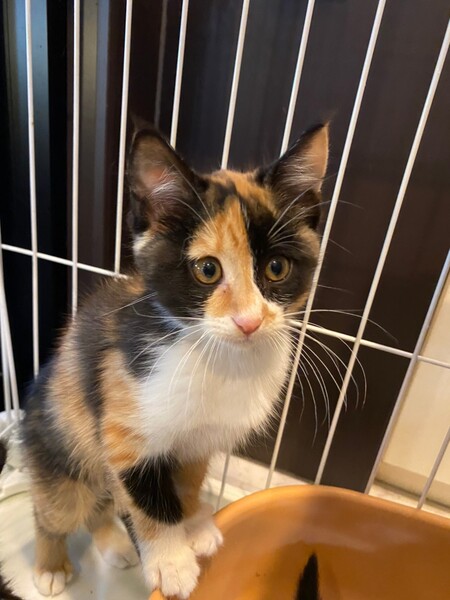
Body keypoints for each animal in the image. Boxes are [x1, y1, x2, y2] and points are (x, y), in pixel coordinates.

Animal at [22, 122, 329, 599]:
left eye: (277, 268)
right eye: (207, 270)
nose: (249, 321)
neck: (217, 354)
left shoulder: (198, 439)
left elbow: (185, 483)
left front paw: (195, 527)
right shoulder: (125, 425)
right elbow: (149, 498)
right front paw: (171, 561)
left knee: (102, 503)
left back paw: (114, 543)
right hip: (63, 454)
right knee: (59, 507)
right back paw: (51, 564)